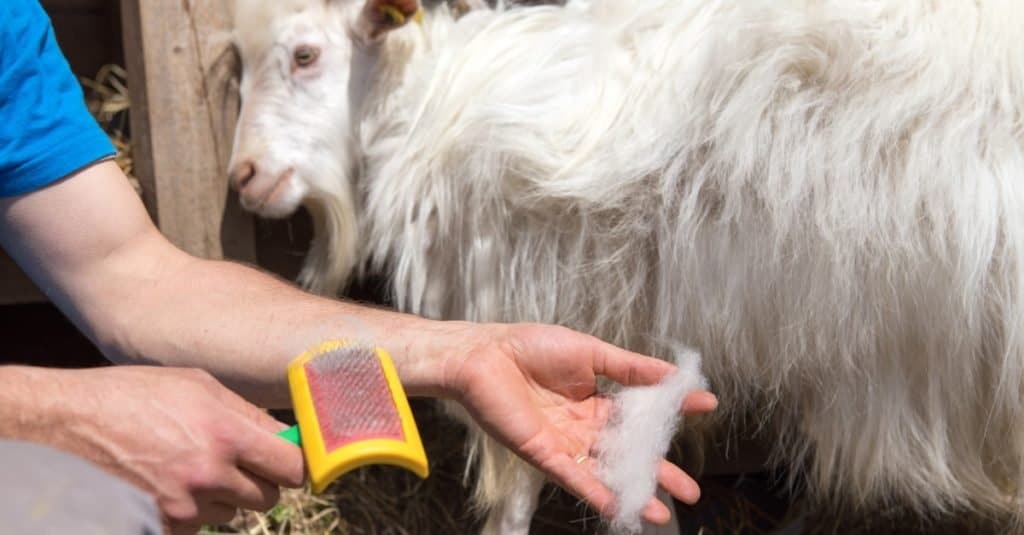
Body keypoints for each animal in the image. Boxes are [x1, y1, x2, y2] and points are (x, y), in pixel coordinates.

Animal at [228, 0, 1024, 528]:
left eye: (305, 55)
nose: (244, 176)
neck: (427, 113)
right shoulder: (627, 335)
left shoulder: (529, 295)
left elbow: (517, 492)